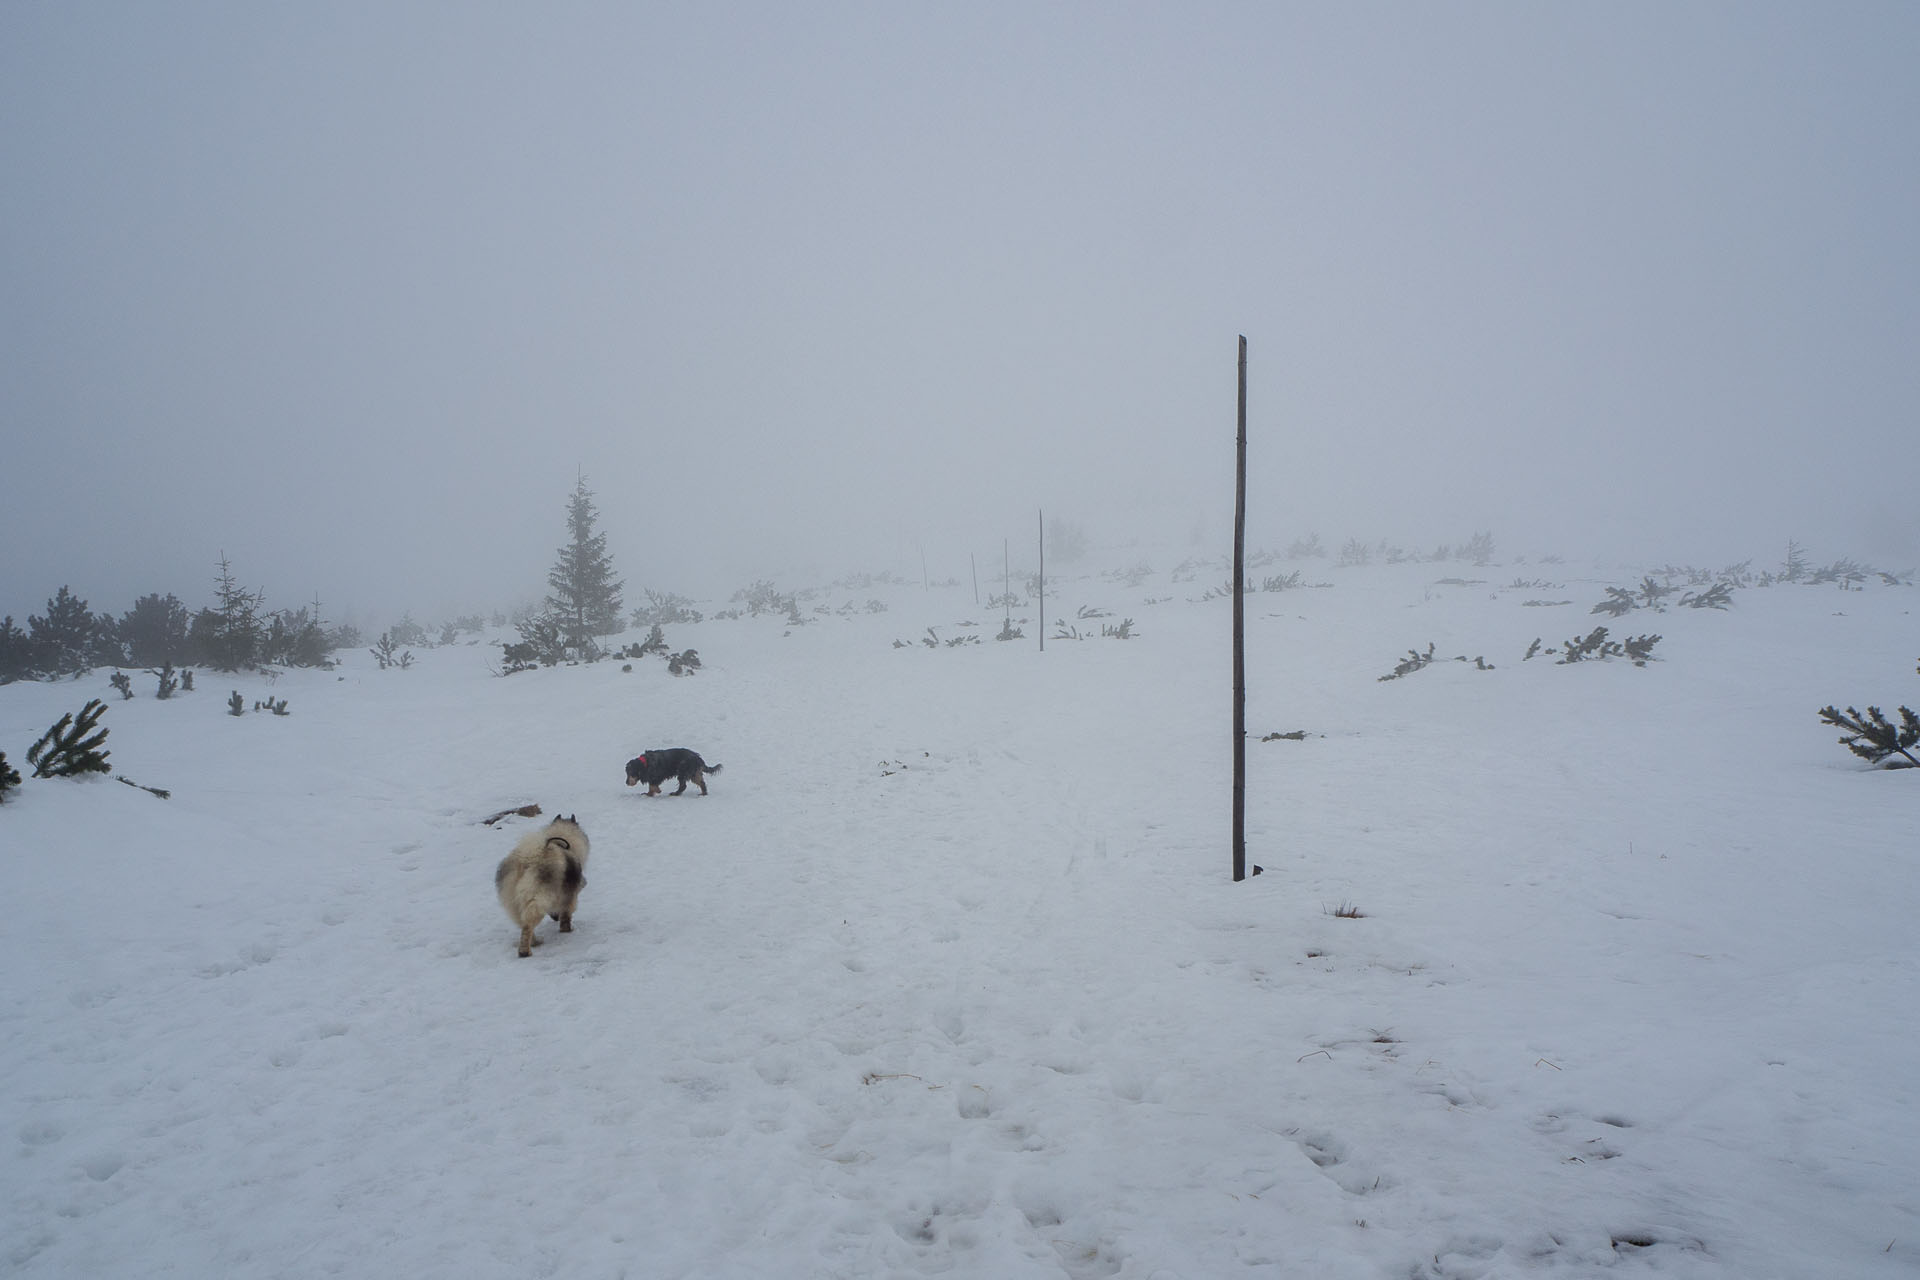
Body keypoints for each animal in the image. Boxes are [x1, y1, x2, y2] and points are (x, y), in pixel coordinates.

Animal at [491, 817, 587, 955]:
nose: (585, 882)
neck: (560, 843)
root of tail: (525, 861)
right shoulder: (570, 896)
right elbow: (566, 915)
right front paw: (567, 930)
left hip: (512, 901)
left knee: (522, 922)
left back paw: (535, 943)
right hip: (538, 897)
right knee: (528, 924)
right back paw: (525, 951)